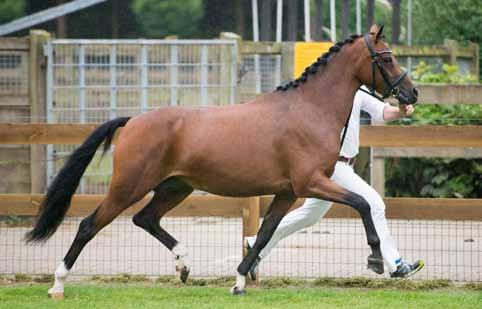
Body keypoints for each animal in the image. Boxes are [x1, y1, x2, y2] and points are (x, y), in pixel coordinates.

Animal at [27, 24, 418, 296]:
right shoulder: (311, 183)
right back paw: (57, 285)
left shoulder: (288, 192)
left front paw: (240, 282)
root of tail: (133, 121)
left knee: (145, 218)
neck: (309, 109)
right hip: (129, 187)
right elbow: (362, 204)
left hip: (175, 188)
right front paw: (375, 260)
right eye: (386, 58)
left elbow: (263, 234)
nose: (411, 93)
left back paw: (184, 266)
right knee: (88, 225)